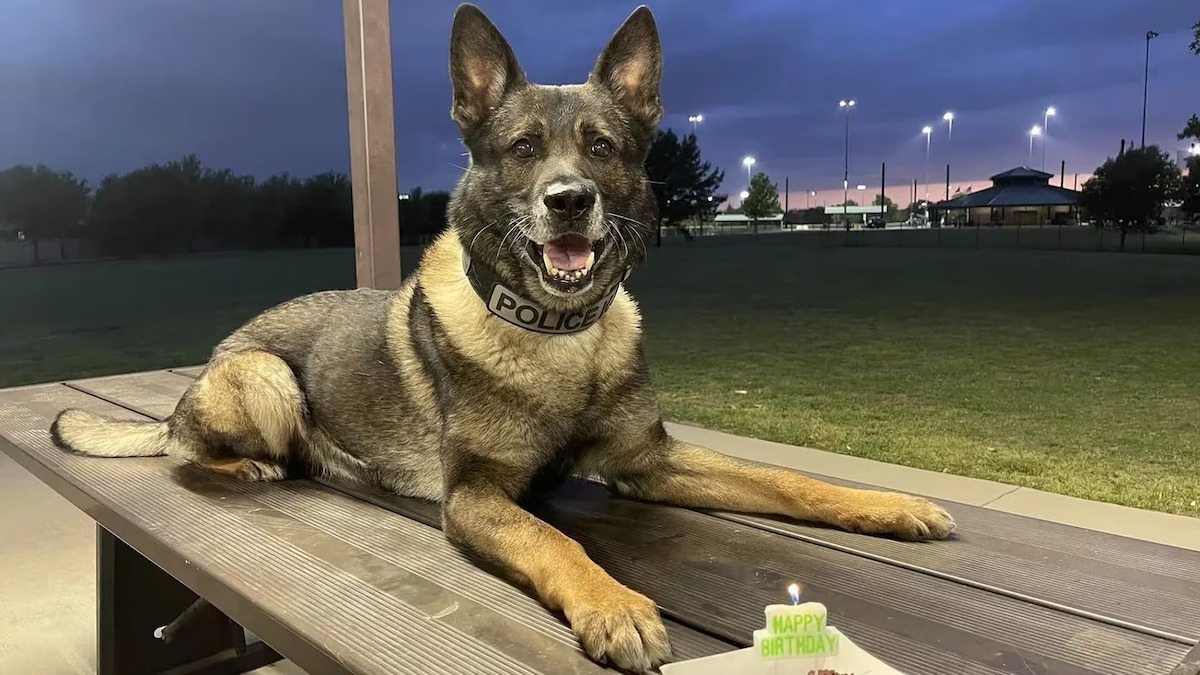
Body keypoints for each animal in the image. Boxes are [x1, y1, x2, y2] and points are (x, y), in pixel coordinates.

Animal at [51, 6, 955, 672]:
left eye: (601, 146)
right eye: (523, 149)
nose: (569, 201)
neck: (563, 338)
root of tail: (200, 374)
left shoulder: (649, 460)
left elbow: (785, 479)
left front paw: (889, 503)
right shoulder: (478, 496)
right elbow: (558, 538)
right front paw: (615, 603)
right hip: (265, 374)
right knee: (187, 448)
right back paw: (248, 462)